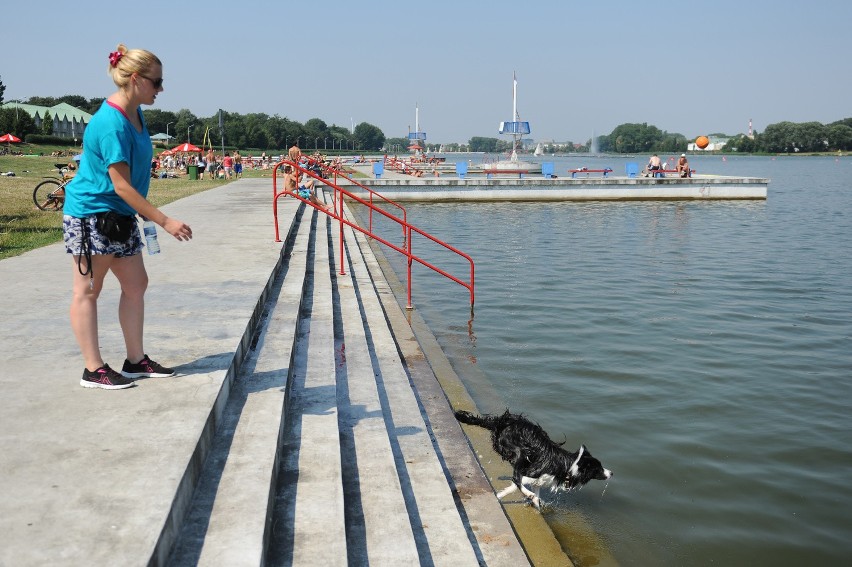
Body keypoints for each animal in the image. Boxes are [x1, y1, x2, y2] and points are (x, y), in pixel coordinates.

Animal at [452, 408, 612, 510]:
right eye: (598, 468)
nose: (611, 473)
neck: (568, 466)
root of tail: (502, 421)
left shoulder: (538, 480)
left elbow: (528, 490)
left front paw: (535, 502)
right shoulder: (531, 474)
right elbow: (516, 484)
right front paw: (526, 496)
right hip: (520, 451)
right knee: (516, 476)